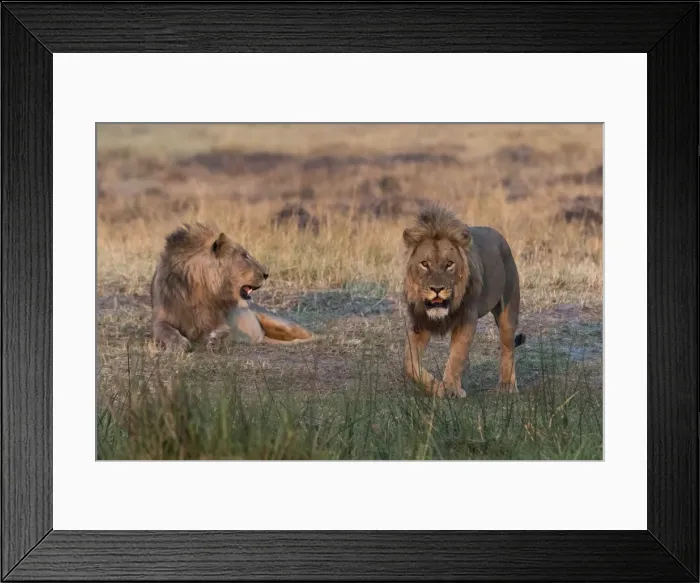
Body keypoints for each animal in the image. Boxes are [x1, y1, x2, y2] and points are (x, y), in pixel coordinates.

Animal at [150, 223, 315, 351]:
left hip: (282, 323)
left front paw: (214, 341)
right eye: (245, 256)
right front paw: (178, 345)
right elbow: (167, 331)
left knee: (313, 335)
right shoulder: (161, 319)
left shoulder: (222, 320)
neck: (199, 289)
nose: (267, 274)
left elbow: (225, 331)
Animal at [402, 205, 526, 398]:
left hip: (508, 310)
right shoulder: (421, 323)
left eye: (449, 264)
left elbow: (456, 355)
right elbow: (409, 362)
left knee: (508, 347)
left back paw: (507, 385)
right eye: (424, 264)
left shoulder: (467, 318)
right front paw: (437, 386)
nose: (437, 289)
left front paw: (449, 388)